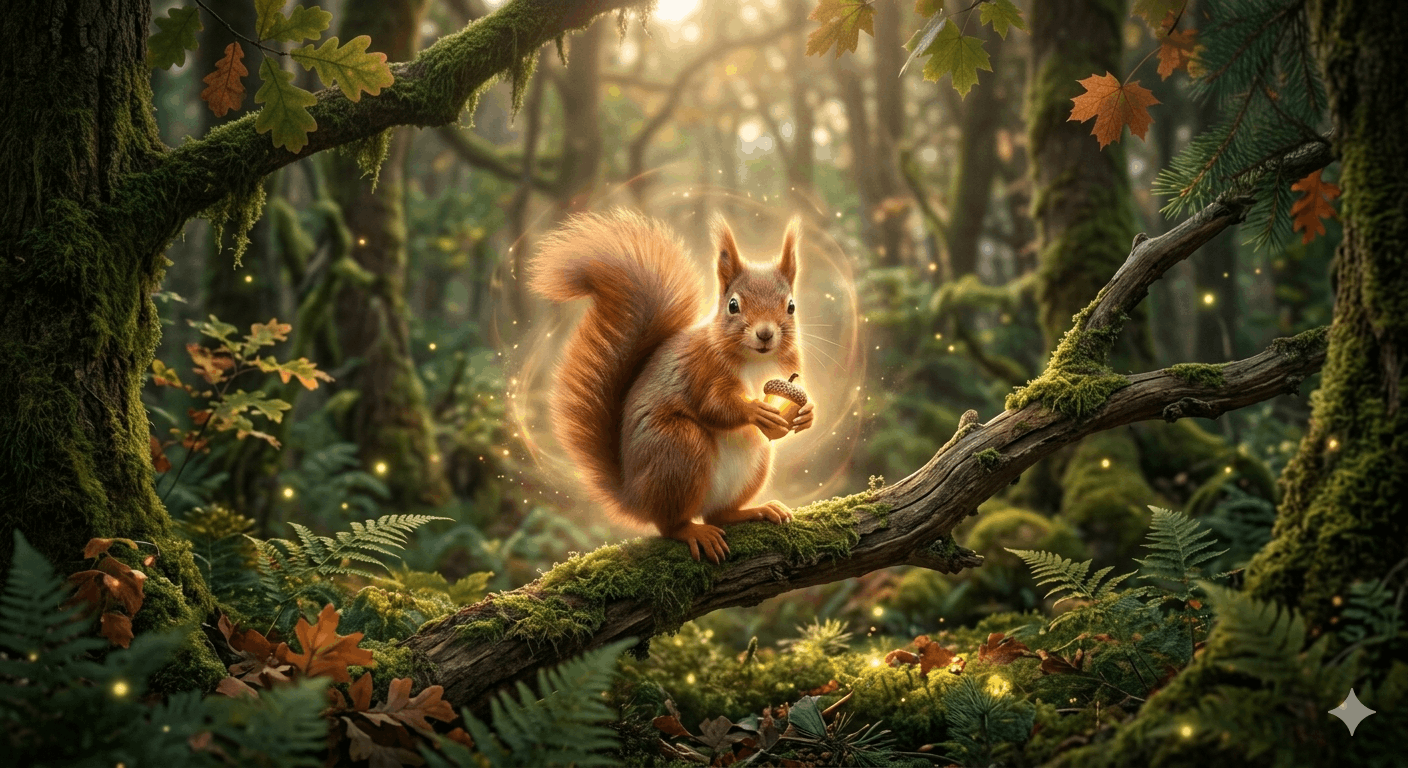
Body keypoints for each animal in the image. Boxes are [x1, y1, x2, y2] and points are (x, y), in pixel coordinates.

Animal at [529, 209, 815, 563]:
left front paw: (807, 415)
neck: (757, 361)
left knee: (719, 514)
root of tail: (634, 496)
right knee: (671, 524)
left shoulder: (789, 367)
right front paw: (755, 411)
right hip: (678, 448)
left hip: (755, 463)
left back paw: (755, 510)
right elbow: (713, 405)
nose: (765, 334)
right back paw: (693, 531)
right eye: (733, 305)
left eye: (791, 306)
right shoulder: (700, 369)